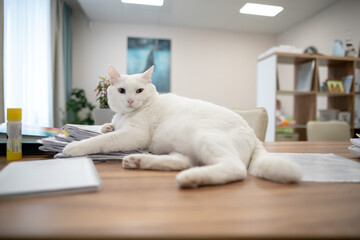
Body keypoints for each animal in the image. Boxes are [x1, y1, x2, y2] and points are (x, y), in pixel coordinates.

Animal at [63, 65, 302, 188]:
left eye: (139, 91)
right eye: (122, 91)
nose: (130, 100)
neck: (125, 115)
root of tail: (254, 135)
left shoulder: (135, 135)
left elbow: (101, 140)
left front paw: (74, 147)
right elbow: (107, 128)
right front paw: (107, 125)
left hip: (205, 137)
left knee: (235, 169)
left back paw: (190, 178)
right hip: (184, 148)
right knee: (180, 162)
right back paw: (138, 161)